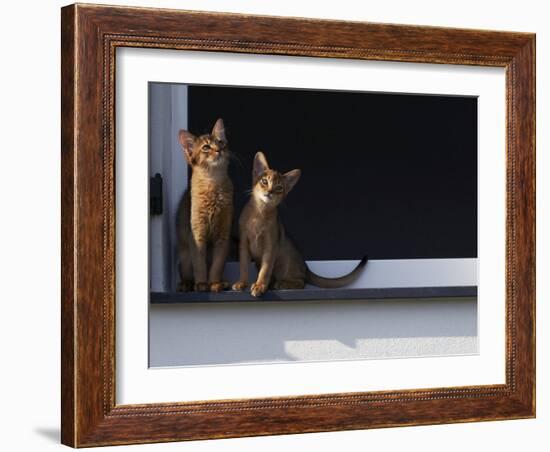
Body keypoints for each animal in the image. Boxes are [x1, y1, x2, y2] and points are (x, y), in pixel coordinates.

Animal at [177, 118, 233, 294]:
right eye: (206, 147)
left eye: (221, 142)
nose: (219, 150)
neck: (213, 184)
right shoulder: (196, 234)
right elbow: (199, 264)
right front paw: (201, 284)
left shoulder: (223, 235)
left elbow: (217, 265)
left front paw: (214, 283)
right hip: (184, 256)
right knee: (185, 272)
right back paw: (186, 284)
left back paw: (223, 282)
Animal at [232, 152, 366, 298]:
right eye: (264, 181)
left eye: (279, 188)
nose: (270, 192)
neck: (259, 213)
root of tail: (306, 267)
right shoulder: (243, 244)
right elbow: (243, 267)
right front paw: (241, 283)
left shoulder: (270, 246)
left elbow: (265, 270)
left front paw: (259, 286)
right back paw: (272, 284)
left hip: (286, 262)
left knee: (301, 282)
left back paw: (281, 284)